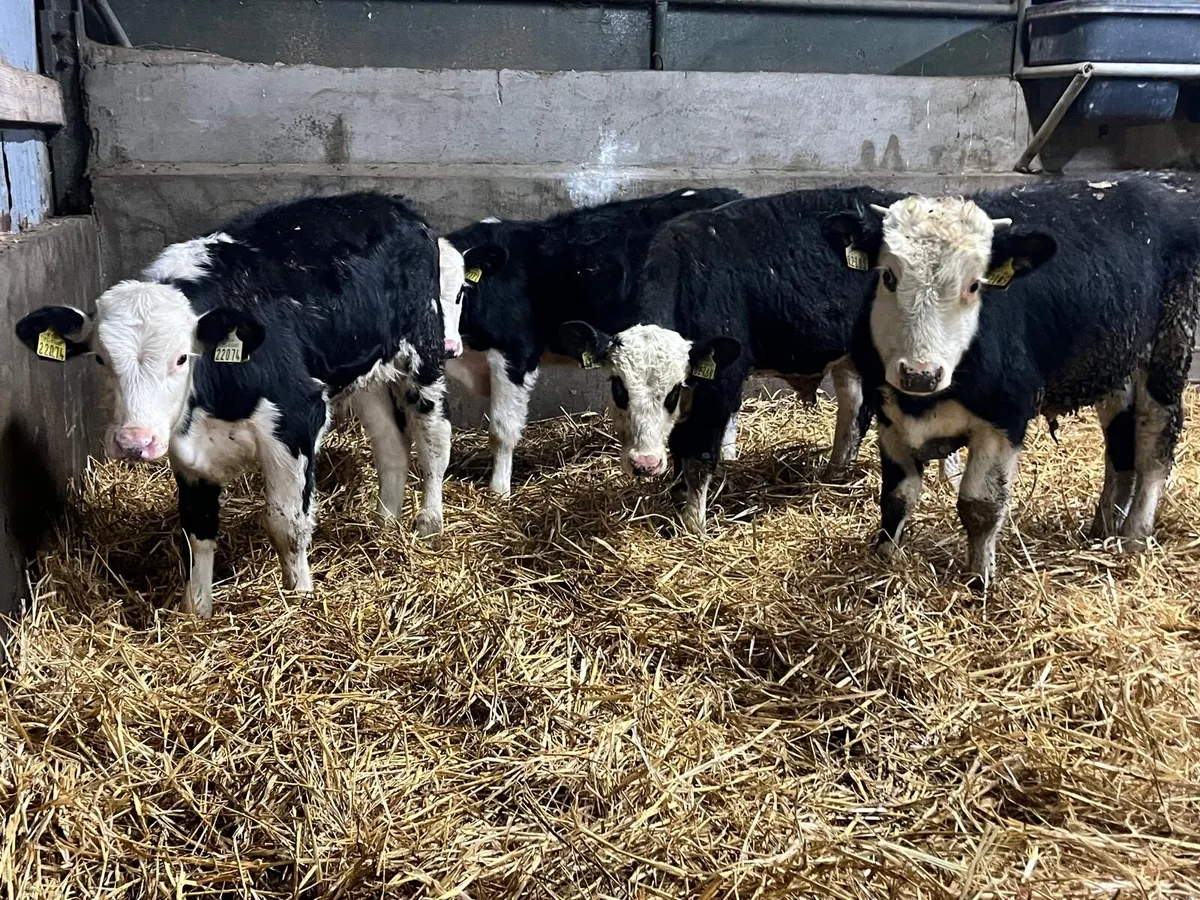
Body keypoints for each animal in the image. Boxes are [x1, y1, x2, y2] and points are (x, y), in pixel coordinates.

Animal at [16, 192, 458, 617]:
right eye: (101, 359)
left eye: (182, 357)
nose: (133, 443)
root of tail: (391, 203)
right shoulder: (186, 452)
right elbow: (198, 529)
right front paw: (196, 611)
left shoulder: (297, 419)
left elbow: (286, 523)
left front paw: (300, 598)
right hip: (365, 371)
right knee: (391, 444)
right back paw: (385, 526)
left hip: (425, 351)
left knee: (434, 439)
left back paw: (428, 522)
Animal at [557, 186, 962, 534]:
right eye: (618, 388)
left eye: (672, 392)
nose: (644, 464)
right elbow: (679, 449)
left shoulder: (722, 379)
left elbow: (699, 454)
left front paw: (693, 526)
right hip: (852, 354)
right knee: (854, 408)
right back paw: (835, 473)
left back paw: (951, 476)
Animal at [823, 177, 1200, 586]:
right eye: (889, 276)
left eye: (975, 285)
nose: (920, 374)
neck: (923, 401)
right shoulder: (890, 416)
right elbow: (896, 498)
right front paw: (885, 559)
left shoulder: (1004, 419)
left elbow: (980, 506)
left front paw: (979, 580)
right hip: (1114, 363)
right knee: (1120, 444)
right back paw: (1103, 528)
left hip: (1168, 350)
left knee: (1155, 446)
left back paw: (1133, 536)